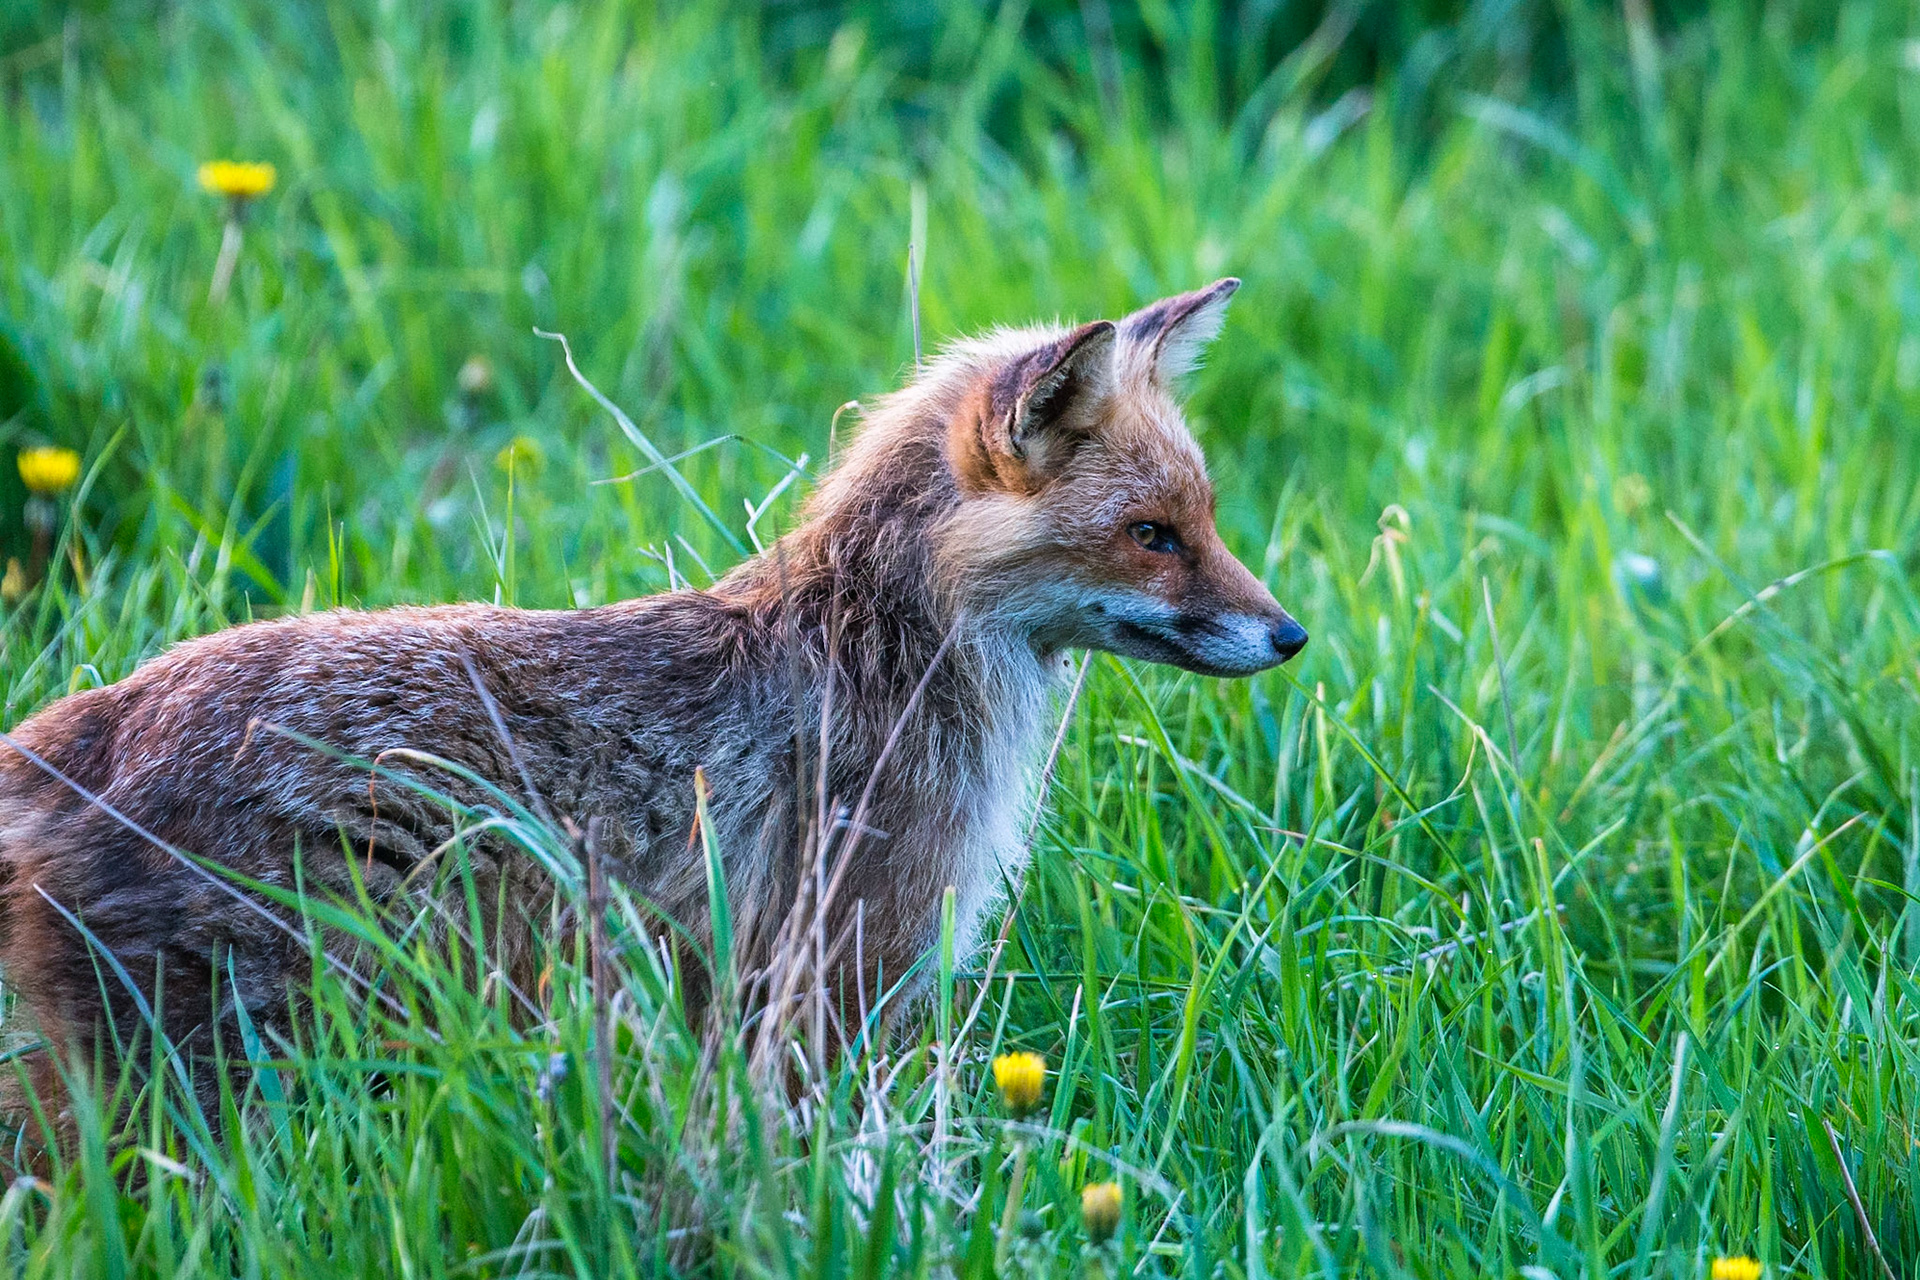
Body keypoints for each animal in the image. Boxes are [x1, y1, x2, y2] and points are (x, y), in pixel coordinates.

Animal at [0, 278, 1305, 1108]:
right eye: (1152, 534)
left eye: (1205, 519)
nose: (1290, 635)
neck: (878, 653)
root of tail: (87, 722)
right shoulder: (837, 970)